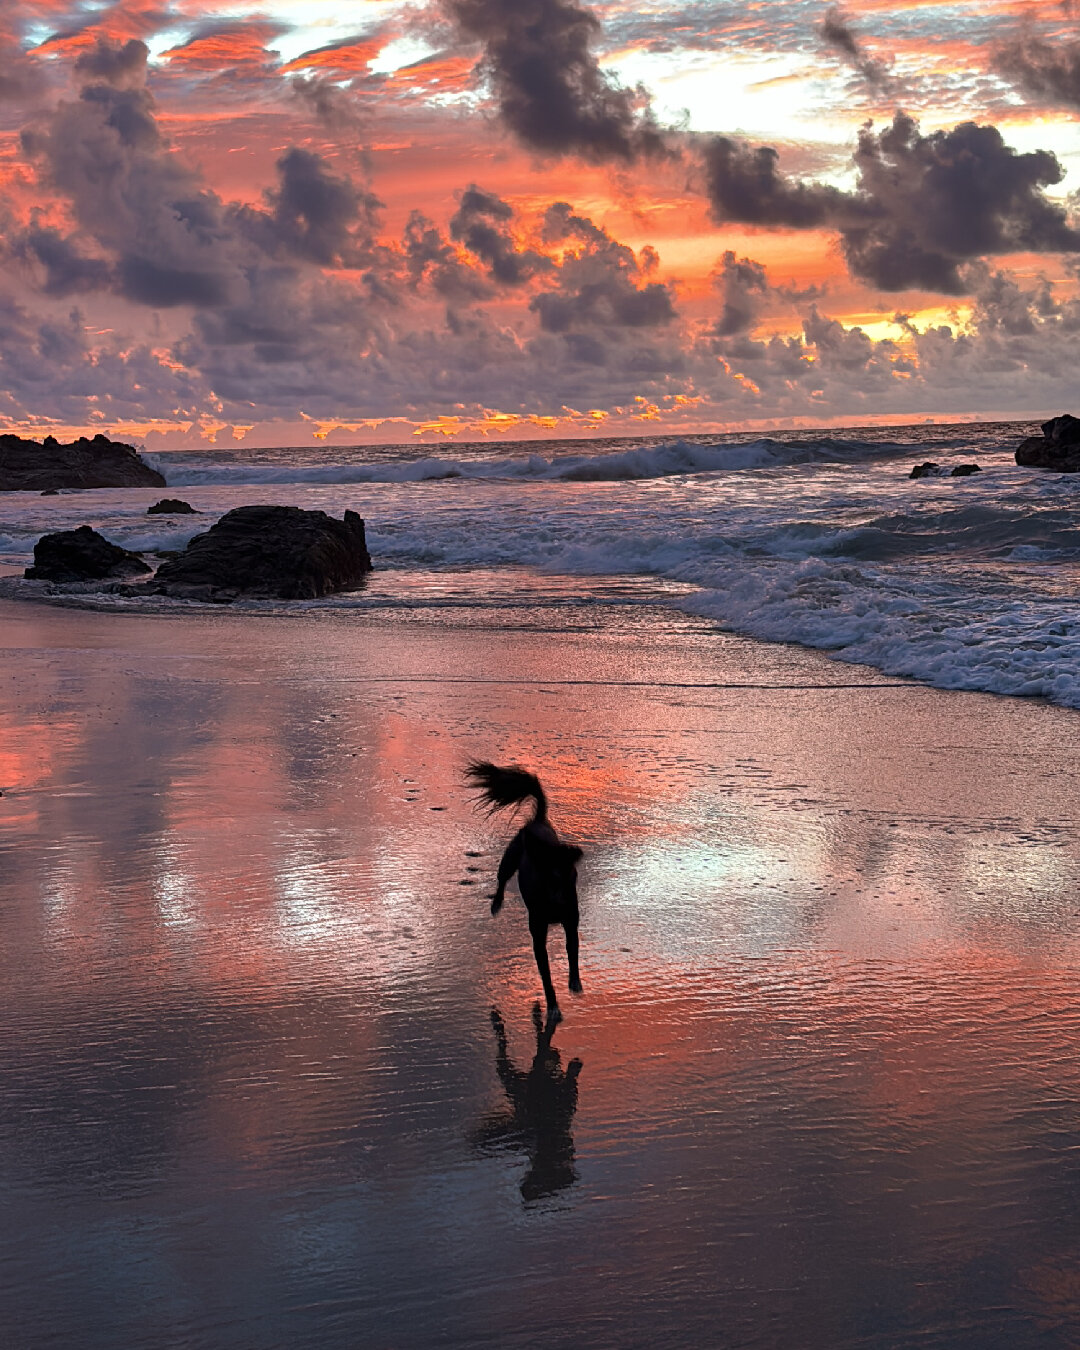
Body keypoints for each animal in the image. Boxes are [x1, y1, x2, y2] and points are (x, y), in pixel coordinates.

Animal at [464, 761, 583, 1020]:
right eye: (549, 879)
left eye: (572, 877)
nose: (561, 900)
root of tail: (537, 821)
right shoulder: (538, 936)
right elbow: (546, 975)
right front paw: (553, 1006)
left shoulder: (571, 923)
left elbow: (573, 952)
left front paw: (574, 982)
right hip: (509, 859)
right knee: (501, 880)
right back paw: (496, 904)